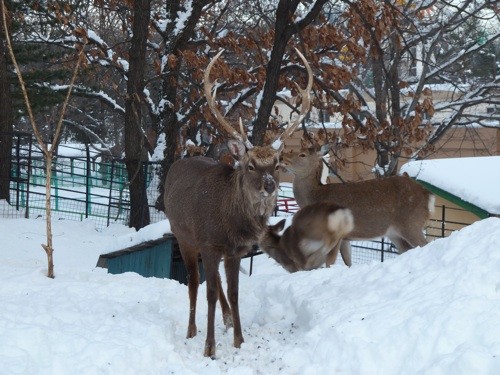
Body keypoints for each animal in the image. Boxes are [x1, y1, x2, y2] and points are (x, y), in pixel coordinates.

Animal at [164, 49, 312, 358]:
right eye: (250, 165)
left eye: (277, 163)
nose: (270, 185)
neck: (230, 225)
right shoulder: (208, 242)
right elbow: (208, 292)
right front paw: (209, 347)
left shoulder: (234, 251)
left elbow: (233, 292)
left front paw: (239, 339)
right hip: (183, 235)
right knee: (194, 281)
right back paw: (191, 329)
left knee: (214, 281)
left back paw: (227, 320)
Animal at [280, 147, 436, 262]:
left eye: (302, 154)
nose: (281, 157)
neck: (316, 195)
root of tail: (428, 194)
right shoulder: (345, 237)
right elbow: (347, 261)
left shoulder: (335, 232)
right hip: (394, 233)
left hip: (411, 222)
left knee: (426, 244)